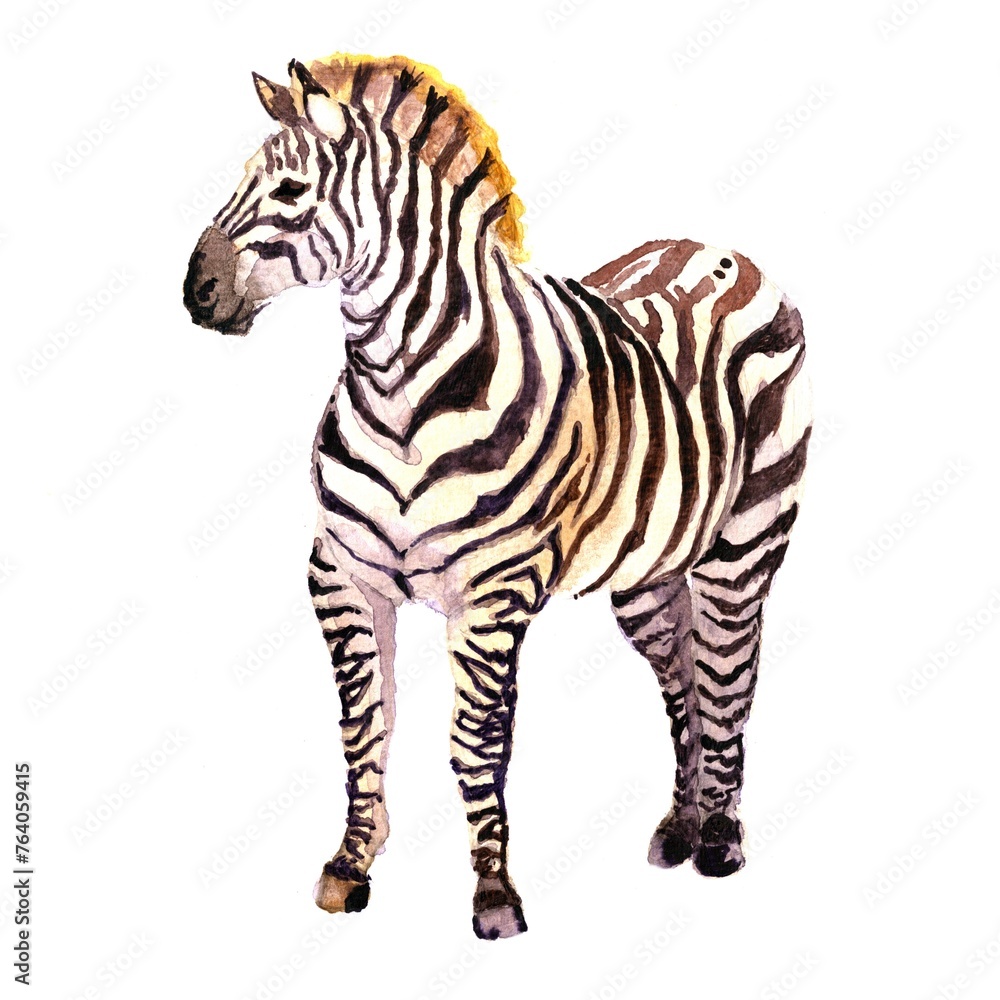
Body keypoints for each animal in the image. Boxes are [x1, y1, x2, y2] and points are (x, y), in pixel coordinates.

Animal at [182, 54, 811, 940]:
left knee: (731, 674)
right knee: (685, 677)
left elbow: (474, 740)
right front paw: (350, 865)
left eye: (292, 190)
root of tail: (713, 247)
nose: (194, 292)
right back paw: (681, 827)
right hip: (648, 572)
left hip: (745, 541)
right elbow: (364, 725)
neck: (401, 392)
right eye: (239, 179)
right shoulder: (339, 577)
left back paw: (720, 838)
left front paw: (492, 894)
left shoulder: (492, 594)